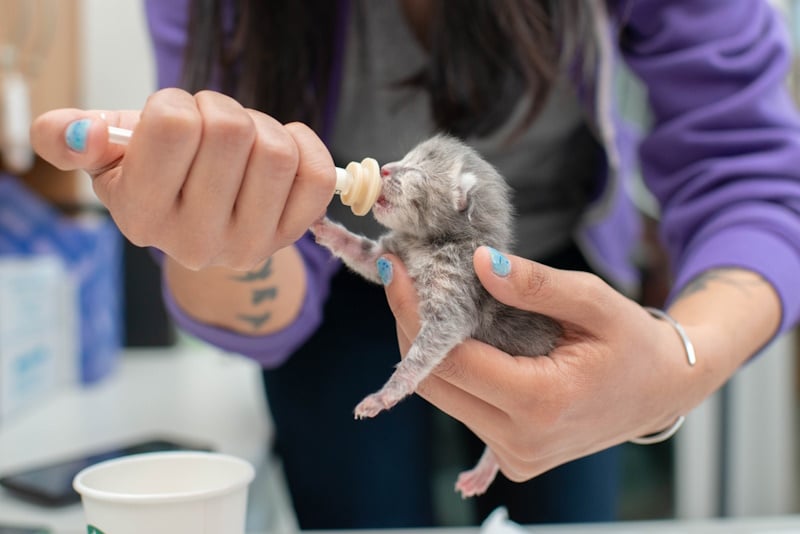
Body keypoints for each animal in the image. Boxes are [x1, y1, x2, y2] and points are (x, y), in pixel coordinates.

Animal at [310, 134, 560, 498]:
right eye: (404, 158)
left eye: (414, 170)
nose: (385, 169)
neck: (430, 243)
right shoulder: (390, 255)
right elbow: (360, 253)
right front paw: (324, 225)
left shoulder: (456, 294)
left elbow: (427, 347)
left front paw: (386, 394)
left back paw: (485, 468)